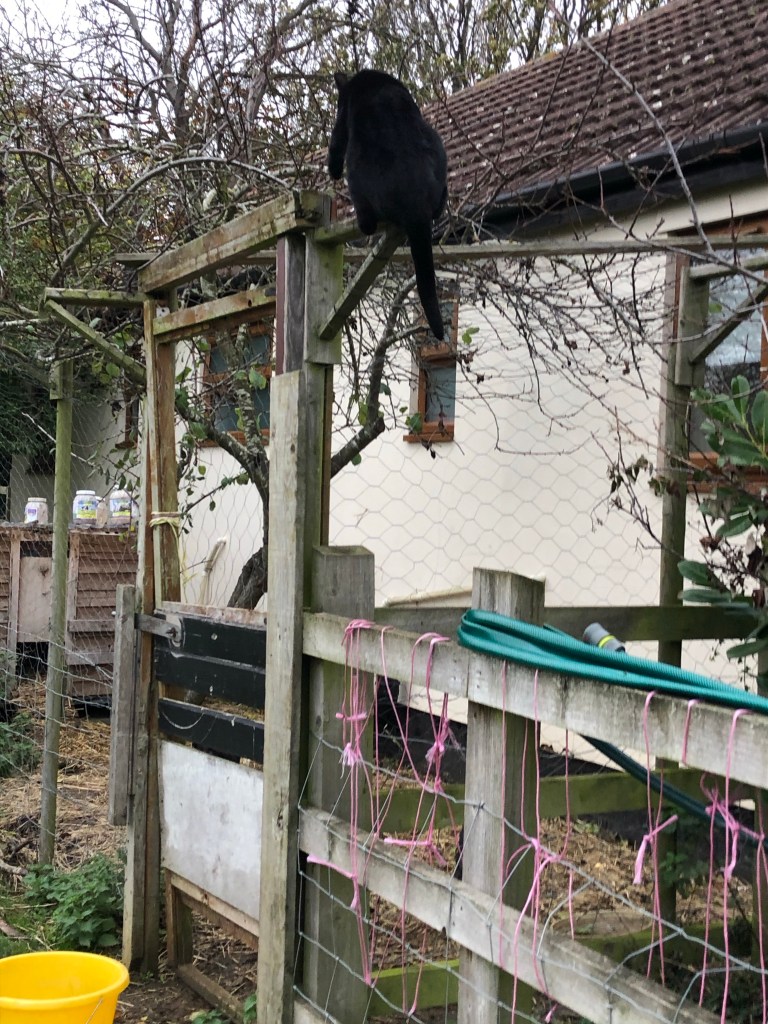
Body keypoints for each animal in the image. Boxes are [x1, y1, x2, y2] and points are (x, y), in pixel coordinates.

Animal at [328, 70, 448, 340]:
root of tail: (416, 206)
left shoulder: (343, 117)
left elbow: (335, 142)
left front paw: (332, 169)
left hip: (357, 164)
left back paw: (365, 222)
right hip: (435, 141)